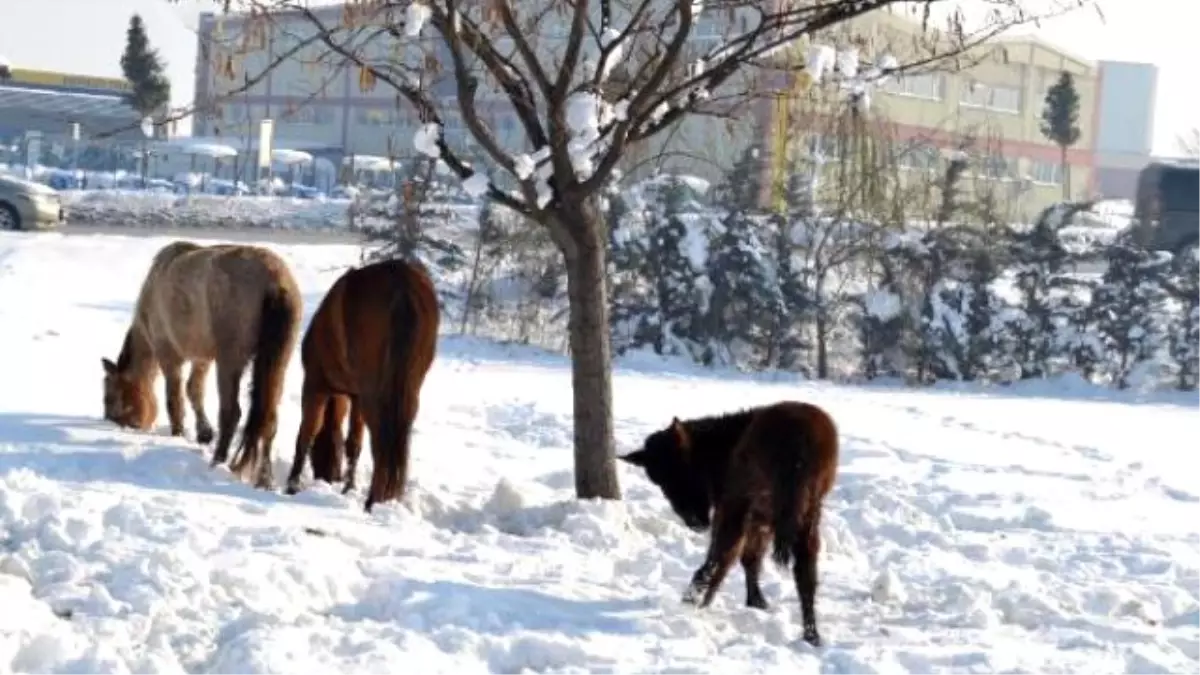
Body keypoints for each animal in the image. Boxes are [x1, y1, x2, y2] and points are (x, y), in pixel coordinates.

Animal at [101, 239, 304, 485]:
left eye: (109, 397)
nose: (112, 421)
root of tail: (275, 280)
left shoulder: (169, 355)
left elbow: (174, 399)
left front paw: (178, 433)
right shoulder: (203, 358)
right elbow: (194, 390)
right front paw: (204, 433)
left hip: (229, 361)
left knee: (231, 413)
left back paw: (218, 460)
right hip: (278, 362)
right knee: (269, 416)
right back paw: (264, 478)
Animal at [285, 254, 441, 506]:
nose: (327, 477)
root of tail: (402, 283)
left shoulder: (315, 385)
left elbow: (307, 432)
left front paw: (291, 485)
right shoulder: (356, 397)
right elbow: (353, 443)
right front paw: (348, 487)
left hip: (372, 395)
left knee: (381, 442)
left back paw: (372, 501)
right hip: (406, 390)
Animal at [624, 398, 840, 648]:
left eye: (679, 470)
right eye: (659, 482)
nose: (693, 522)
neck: (722, 444)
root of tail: (799, 439)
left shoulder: (732, 508)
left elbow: (731, 556)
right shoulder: (761, 522)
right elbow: (751, 559)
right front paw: (757, 602)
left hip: (740, 507)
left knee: (720, 556)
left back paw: (693, 600)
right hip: (808, 516)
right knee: (805, 573)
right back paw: (812, 636)